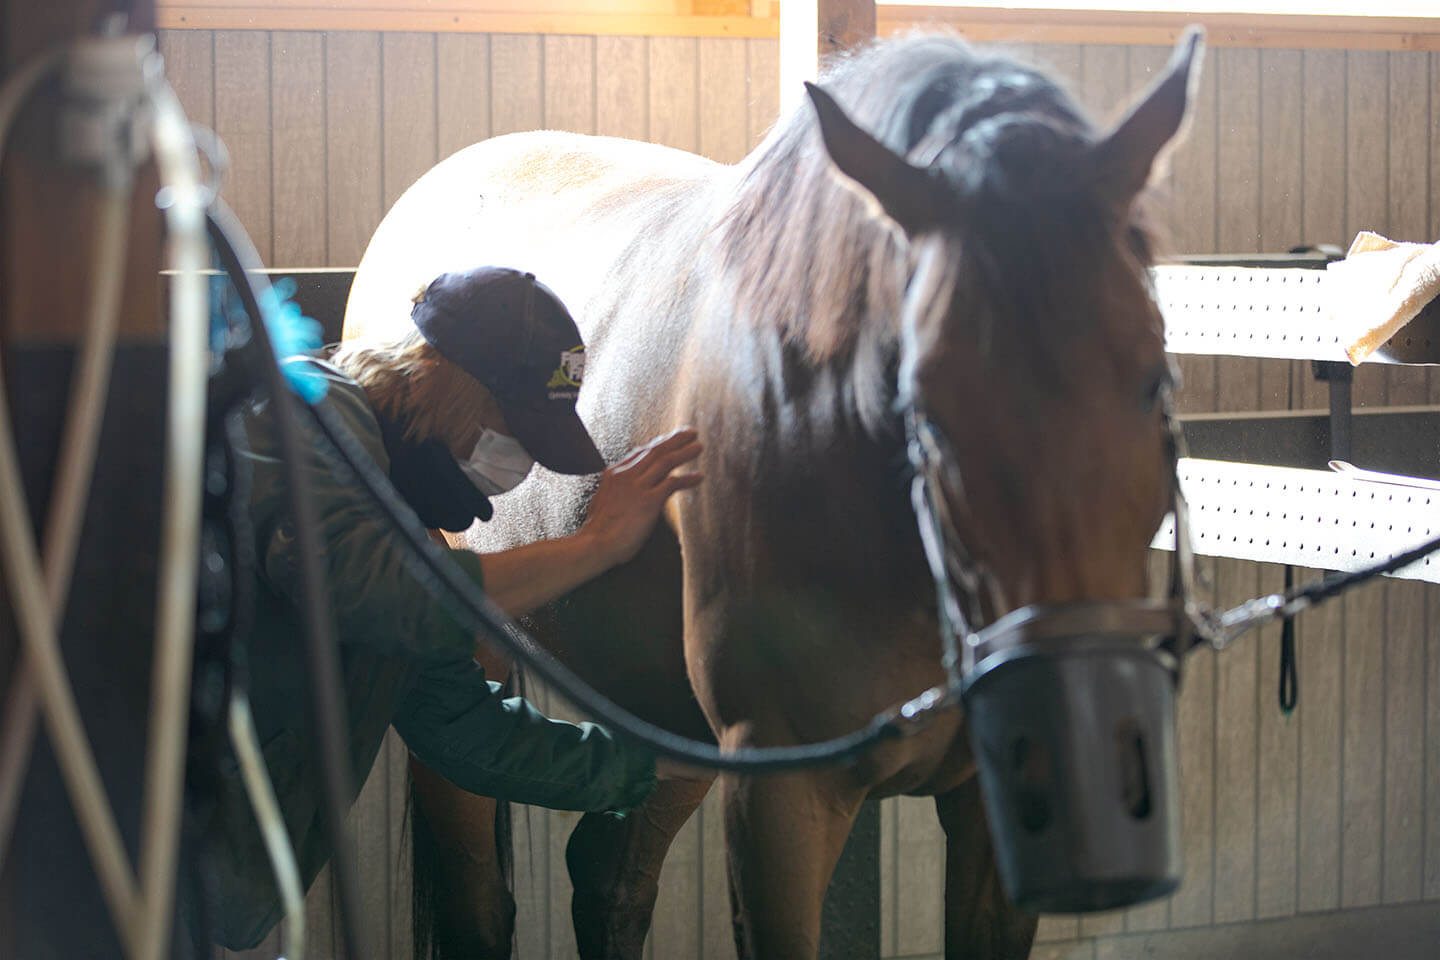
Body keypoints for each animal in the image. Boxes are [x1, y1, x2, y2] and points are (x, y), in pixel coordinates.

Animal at [342, 30, 1201, 960]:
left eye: (1157, 381)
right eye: (925, 411)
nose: (1082, 750)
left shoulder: (985, 806)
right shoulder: (777, 798)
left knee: (609, 880)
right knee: (478, 894)